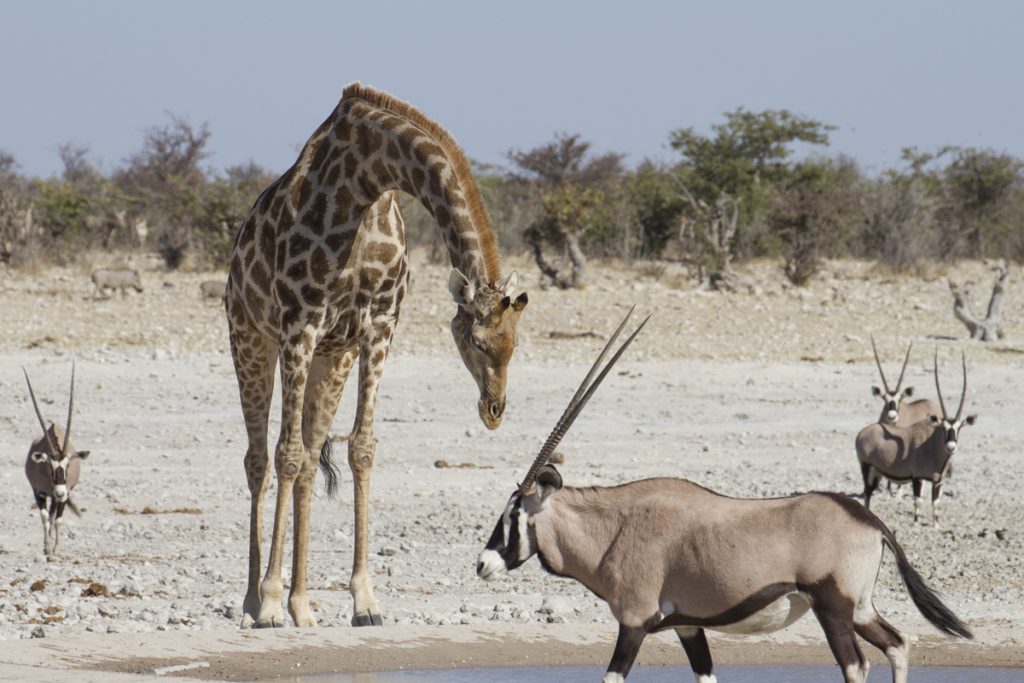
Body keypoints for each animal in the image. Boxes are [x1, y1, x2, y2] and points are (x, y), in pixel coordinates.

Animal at [22, 366, 90, 557]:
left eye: (68, 466)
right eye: (49, 467)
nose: (59, 492)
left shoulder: (66, 494)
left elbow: (57, 520)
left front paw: (56, 548)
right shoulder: (38, 492)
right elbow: (45, 517)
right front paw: (47, 547)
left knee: (54, 516)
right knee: (49, 516)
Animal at [224, 82, 528, 626]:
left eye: (515, 343)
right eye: (474, 342)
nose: (494, 410)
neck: (365, 180)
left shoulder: (379, 328)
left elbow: (360, 449)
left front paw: (365, 601)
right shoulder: (298, 325)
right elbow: (284, 455)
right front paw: (270, 602)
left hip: (333, 359)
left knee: (308, 460)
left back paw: (303, 606)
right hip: (250, 337)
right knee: (260, 459)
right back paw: (255, 603)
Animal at [856, 350, 974, 528]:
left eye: (959, 427)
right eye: (943, 427)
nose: (951, 446)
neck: (933, 447)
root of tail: (862, 433)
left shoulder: (937, 481)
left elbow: (936, 503)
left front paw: (936, 525)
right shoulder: (917, 477)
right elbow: (918, 501)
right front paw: (917, 523)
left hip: (877, 471)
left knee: (870, 490)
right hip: (866, 466)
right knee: (867, 491)